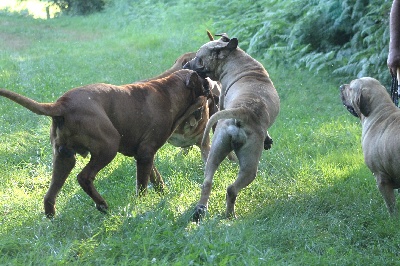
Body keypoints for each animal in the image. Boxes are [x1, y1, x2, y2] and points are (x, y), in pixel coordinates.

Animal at [0, 68, 206, 216]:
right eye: (203, 82)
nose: (209, 86)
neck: (168, 92)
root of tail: (61, 104)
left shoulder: (145, 155)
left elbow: (155, 178)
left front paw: (162, 194)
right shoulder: (146, 152)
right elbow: (142, 185)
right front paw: (142, 204)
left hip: (64, 159)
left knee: (50, 195)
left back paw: (52, 218)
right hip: (108, 147)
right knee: (84, 177)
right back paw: (102, 204)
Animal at [184, 33, 278, 220]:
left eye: (199, 59)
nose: (185, 66)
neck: (235, 61)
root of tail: (242, 112)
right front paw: (268, 139)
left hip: (217, 151)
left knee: (208, 182)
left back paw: (200, 210)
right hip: (250, 166)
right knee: (231, 189)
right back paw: (229, 216)